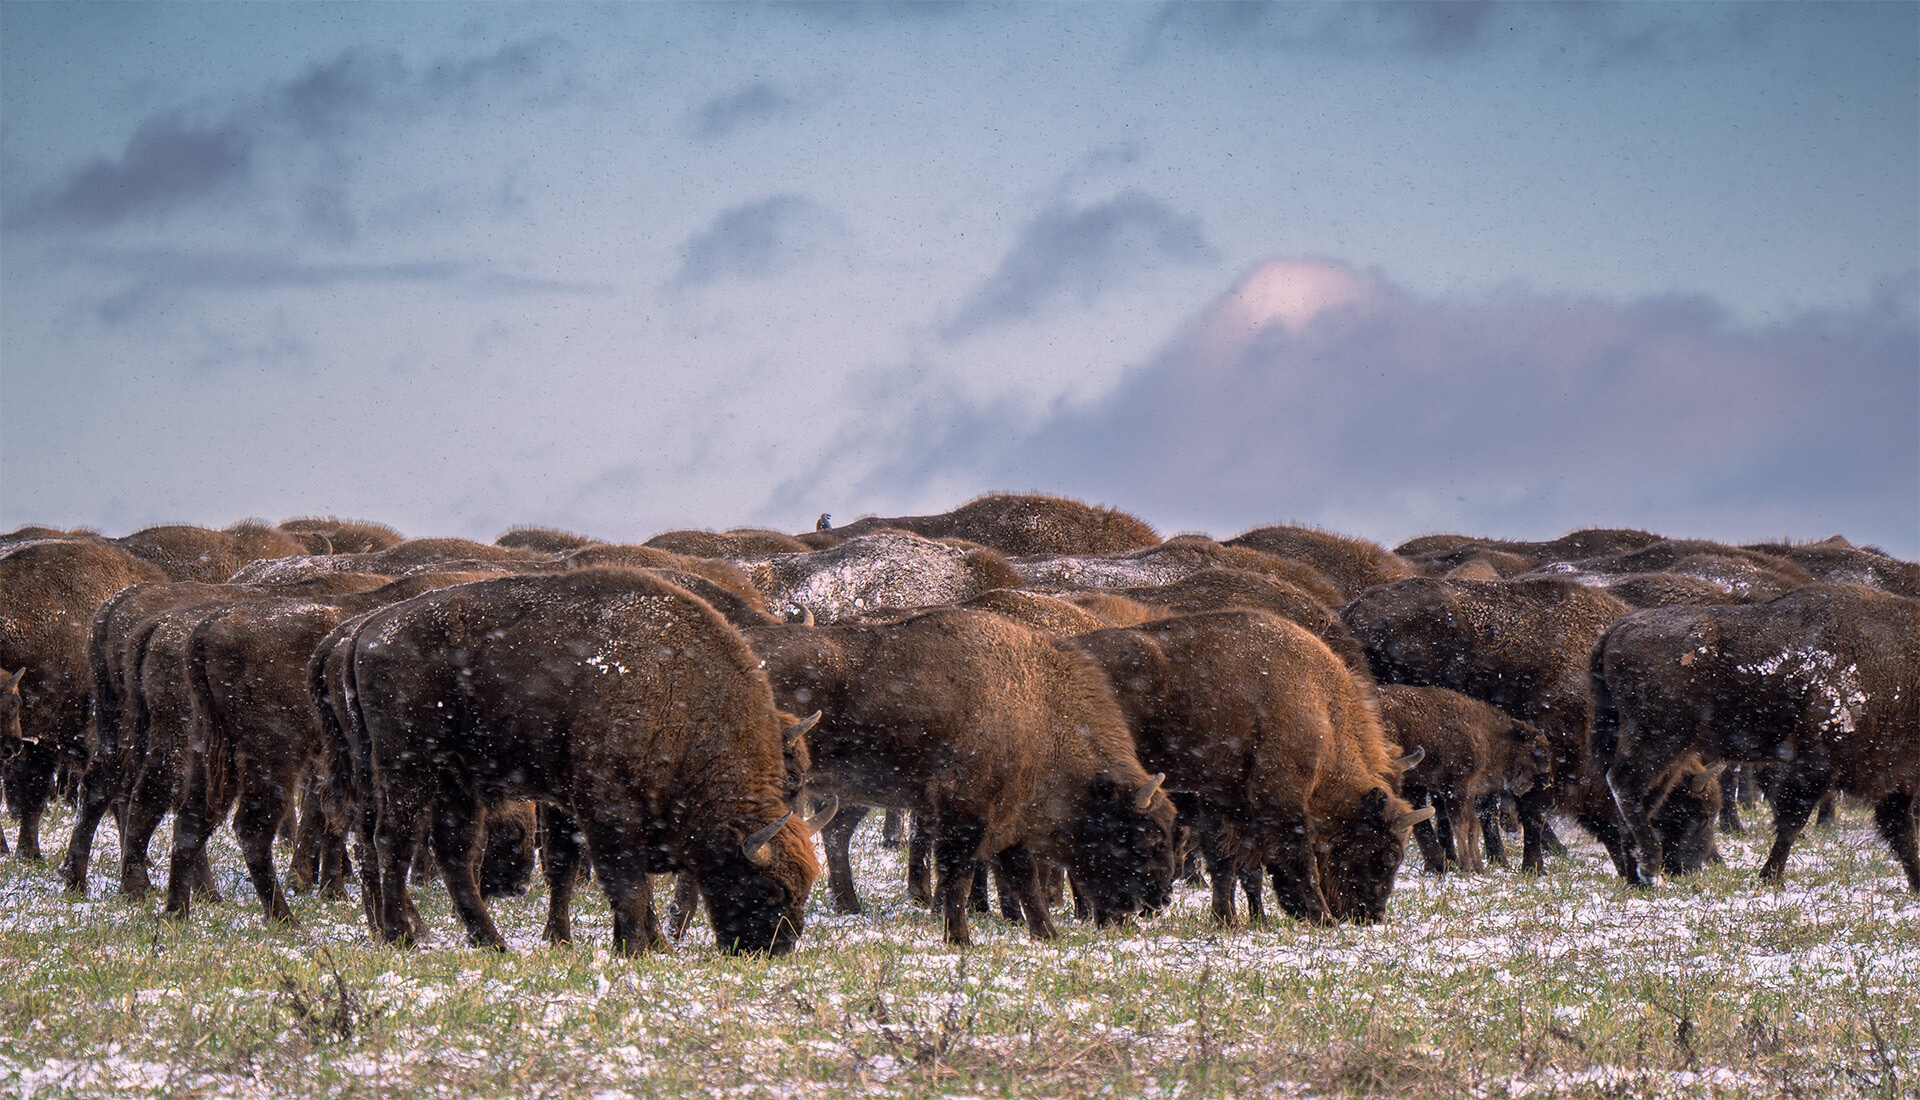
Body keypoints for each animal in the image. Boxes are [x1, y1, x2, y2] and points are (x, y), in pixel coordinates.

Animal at [342, 568, 823, 955]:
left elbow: (625, 883)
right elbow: (625, 883)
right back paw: (402, 935)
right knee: (393, 840)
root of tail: (369, 629)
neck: (679, 694)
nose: (777, 948)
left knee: (455, 856)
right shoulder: (606, 808)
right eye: (769, 888)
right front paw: (634, 948)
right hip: (407, 767)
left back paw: (492, 943)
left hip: (458, 783)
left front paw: (654, 944)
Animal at [742, 609, 1178, 945]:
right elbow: (959, 875)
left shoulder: (1010, 819)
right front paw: (960, 939)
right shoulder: (966, 813)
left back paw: (850, 906)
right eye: (1143, 836)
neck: (1039, 712)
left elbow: (1023, 879)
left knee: (835, 836)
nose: (1159, 899)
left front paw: (1046, 934)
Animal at [1068, 610, 1427, 926]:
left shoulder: (1222, 796)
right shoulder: (1282, 796)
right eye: (1387, 856)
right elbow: (1299, 857)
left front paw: (1225, 920)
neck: (1318, 703)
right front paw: (1321, 917)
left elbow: (1225, 862)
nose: (1371, 916)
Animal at [1593, 584, 1920, 891]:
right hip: (1657, 741)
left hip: (1669, 754)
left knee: (1643, 799)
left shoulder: (1895, 777)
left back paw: (1636, 878)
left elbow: (1902, 831)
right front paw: (1770, 877)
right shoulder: (1816, 763)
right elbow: (1792, 820)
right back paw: (1649, 867)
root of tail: (1615, 631)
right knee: (1624, 785)